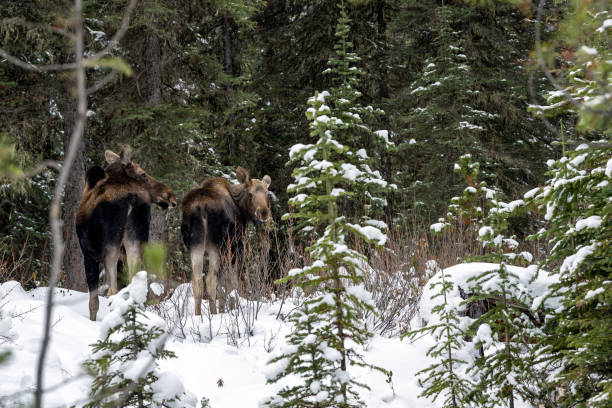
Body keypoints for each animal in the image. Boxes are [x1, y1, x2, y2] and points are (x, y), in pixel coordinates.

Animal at [76, 147, 177, 322]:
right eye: (143, 174)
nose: (170, 196)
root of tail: (133, 198)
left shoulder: (89, 254)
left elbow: (93, 301)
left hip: (111, 247)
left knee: (113, 291)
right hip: (136, 240)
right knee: (134, 284)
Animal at [179, 166, 270, 316]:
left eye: (267, 194)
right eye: (250, 194)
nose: (263, 212)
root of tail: (201, 206)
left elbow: (222, 286)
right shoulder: (236, 248)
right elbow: (231, 284)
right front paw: (231, 309)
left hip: (195, 245)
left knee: (197, 280)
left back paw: (198, 315)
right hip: (217, 246)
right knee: (210, 279)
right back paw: (214, 314)